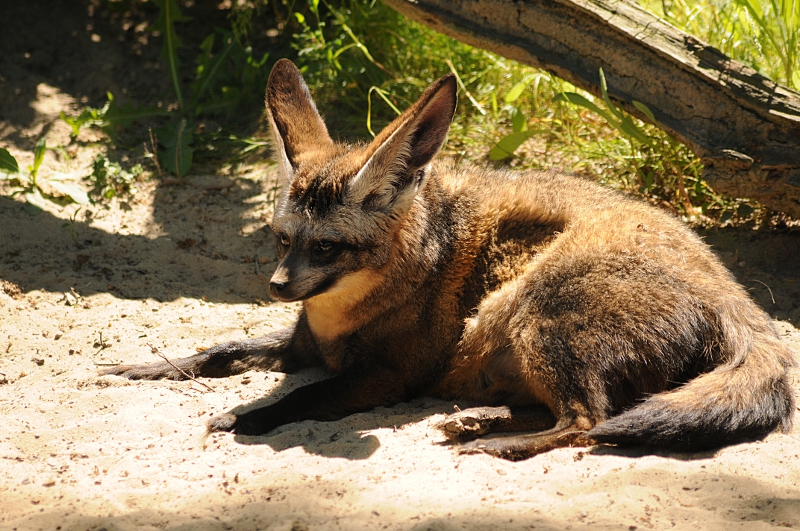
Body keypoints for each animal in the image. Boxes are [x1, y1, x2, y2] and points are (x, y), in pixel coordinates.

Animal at [103, 58, 795, 460]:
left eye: (327, 246)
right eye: (280, 239)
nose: (276, 287)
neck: (339, 321)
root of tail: (737, 297)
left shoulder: (388, 375)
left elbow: (306, 397)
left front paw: (247, 417)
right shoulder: (304, 343)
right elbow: (218, 349)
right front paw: (145, 366)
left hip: (532, 313)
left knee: (589, 420)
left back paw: (499, 441)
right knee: (578, 409)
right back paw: (479, 420)